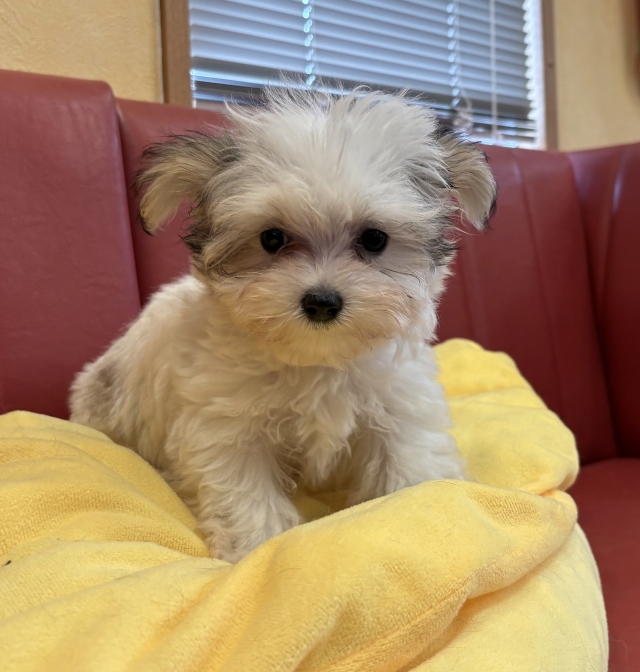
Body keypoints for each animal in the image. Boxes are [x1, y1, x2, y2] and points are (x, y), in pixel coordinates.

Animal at [70, 89, 496, 563]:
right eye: (271, 239)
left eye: (374, 239)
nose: (322, 301)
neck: (317, 360)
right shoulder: (224, 423)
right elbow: (244, 488)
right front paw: (255, 548)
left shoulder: (399, 404)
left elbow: (409, 458)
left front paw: (427, 507)